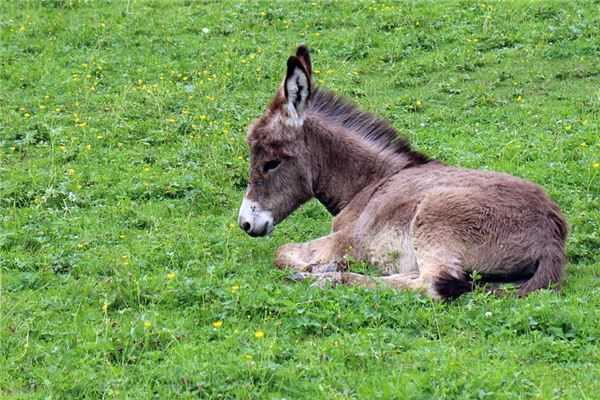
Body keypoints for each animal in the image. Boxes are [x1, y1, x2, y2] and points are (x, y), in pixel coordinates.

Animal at [236, 45, 568, 300]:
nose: (245, 224)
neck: (369, 184)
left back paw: (329, 278)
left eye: (271, 163)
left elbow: (282, 252)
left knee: (432, 285)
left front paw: (318, 269)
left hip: (435, 222)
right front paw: (323, 267)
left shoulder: (349, 238)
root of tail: (552, 235)